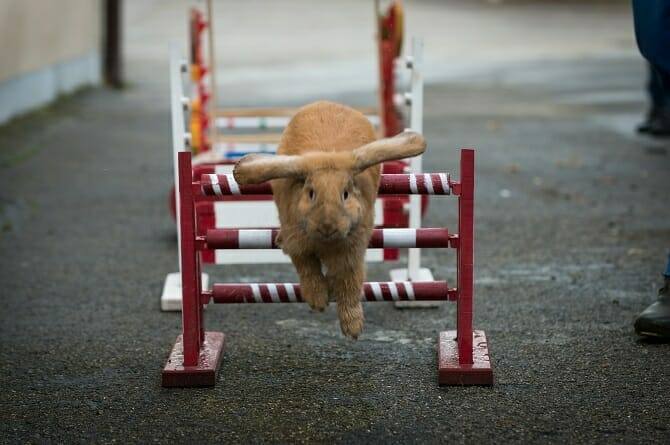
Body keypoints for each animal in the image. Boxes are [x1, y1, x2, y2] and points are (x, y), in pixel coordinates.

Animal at [234, 100, 428, 336]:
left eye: (345, 194)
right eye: (311, 193)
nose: (328, 226)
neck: (326, 242)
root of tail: (326, 103)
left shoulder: (351, 253)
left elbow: (349, 285)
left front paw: (353, 328)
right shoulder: (298, 245)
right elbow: (308, 270)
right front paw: (318, 302)